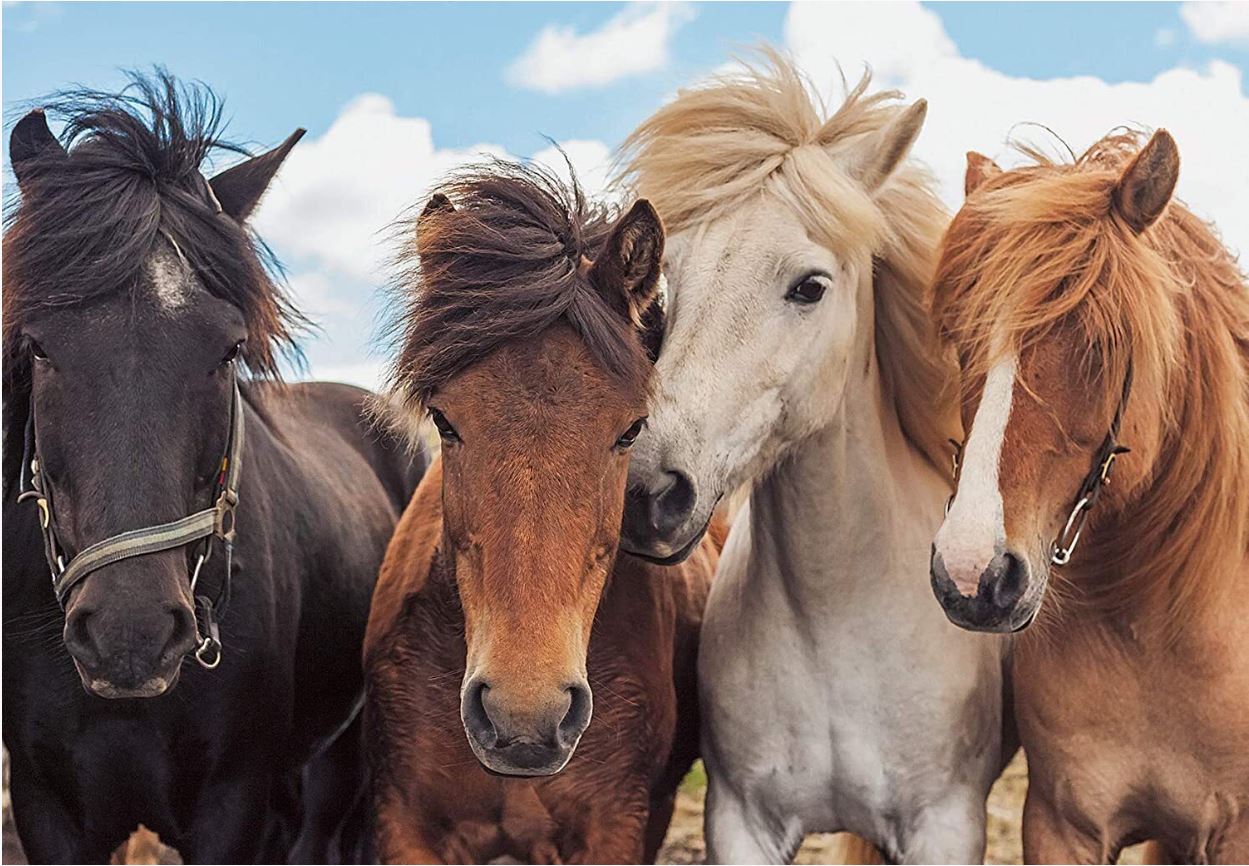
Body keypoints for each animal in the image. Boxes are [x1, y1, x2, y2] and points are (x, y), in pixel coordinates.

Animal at [614, 51, 1012, 863]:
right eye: (670, 284)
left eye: (809, 286)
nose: (648, 495)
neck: (837, 625)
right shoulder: (739, 821)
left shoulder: (946, 824)